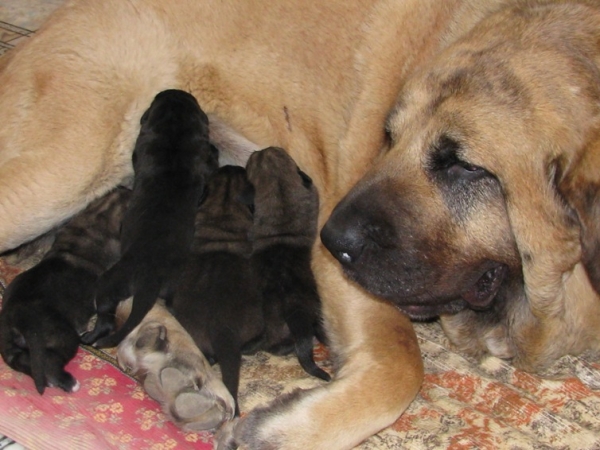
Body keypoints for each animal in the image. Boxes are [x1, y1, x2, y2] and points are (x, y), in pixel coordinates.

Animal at [0, 188, 131, 392]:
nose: (127, 188)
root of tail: (19, 321)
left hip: (9, 346)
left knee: (22, 361)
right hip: (64, 336)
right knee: (50, 362)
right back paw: (69, 383)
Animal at [82, 89, 218, 348]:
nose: (174, 90)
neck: (175, 134)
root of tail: (149, 279)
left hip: (108, 283)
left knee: (105, 319)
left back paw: (88, 337)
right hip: (171, 285)